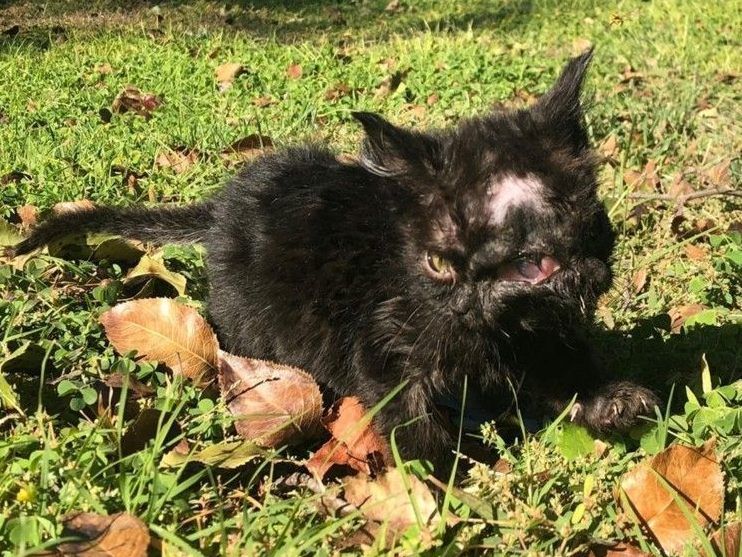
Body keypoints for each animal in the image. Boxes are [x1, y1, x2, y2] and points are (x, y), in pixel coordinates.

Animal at [11, 51, 656, 470]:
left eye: (542, 252)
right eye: (438, 264)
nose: (472, 298)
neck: (492, 336)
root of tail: (223, 207)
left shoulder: (545, 327)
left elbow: (562, 361)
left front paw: (610, 400)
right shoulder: (381, 344)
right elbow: (411, 417)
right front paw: (453, 478)